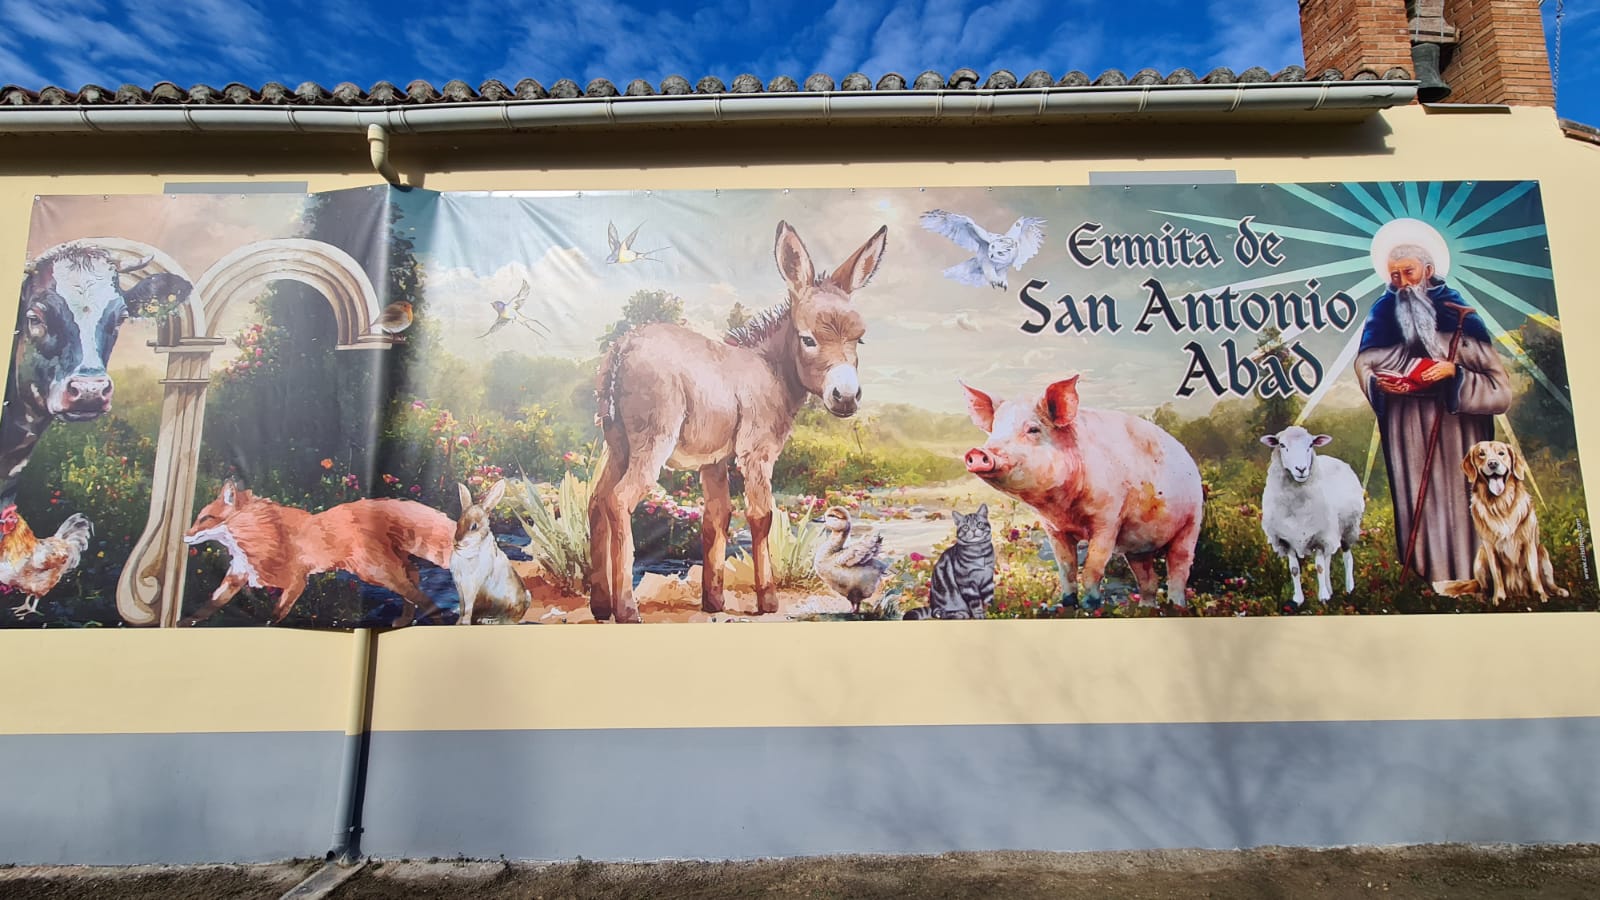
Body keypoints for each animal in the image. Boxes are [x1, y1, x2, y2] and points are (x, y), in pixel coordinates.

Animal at [182, 477, 457, 624]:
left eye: (205, 518)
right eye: (198, 517)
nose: (185, 536)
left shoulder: (296, 581)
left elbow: (275, 615)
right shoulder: (236, 576)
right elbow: (208, 606)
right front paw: (183, 623)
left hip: (378, 573)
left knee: (423, 597)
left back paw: (435, 621)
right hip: (388, 571)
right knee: (416, 580)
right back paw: (405, 620)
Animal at [451, 480, 531, 621]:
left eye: (474, 526)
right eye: (458, 523)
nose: (456, 543)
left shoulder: (472, 588)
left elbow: (468, 609)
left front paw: (464, 622)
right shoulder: (460, 588)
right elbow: (462, 608)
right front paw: (459, 621)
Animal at [960, 374, 1203, 605]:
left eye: (1033, 429)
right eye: (994, 431)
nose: (977, 452)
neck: (1064, 508)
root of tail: (1188, 458)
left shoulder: (1109, 521)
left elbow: (1091, 571)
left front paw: (1091, 606)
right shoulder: (1054, 528)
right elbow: (1066, 571)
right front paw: (1067, 605)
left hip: (1191, 522)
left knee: (1179, 571)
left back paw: (1176, 606)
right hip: (1138, 547)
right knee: (1149, 581)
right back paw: (1146, 610)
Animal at [1260, 425, 1363, 605]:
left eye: (1310, 445)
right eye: (1282, 445)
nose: (1301, 469)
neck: (1297, 506)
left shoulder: (1320, 537)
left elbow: (1319, 568)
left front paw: (1323, 597)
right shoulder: (1286, 541)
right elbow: (1294, 570)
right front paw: (1298, 599)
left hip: (1349, 527)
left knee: (1347, 557)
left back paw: (1349, 588)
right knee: (1329, 559)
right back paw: (1330, 588)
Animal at [1433, 438, 1568, 602]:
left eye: (1501, 453)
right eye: (1481, 454)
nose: (1492, 464)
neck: (1500, 504)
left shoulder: (1529, 543)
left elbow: (1534, 573)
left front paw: (1540, 594)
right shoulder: (1489, 547)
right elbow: (1497, 575)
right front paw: (1499, 597)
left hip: (1542, 551)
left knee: (1548, 581)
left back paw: (1557, 590)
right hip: (1480, 557)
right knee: (1483, 586)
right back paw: (1483, 596)